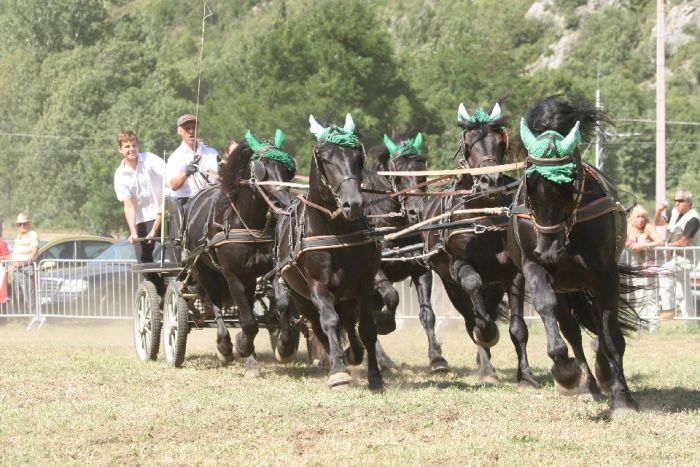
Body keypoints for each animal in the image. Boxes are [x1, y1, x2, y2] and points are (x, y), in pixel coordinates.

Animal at [180, 131, 298, 372]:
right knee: (215, 303)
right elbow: (249, 321)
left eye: (288, 169)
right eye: (262, 169)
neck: (248, 223)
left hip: (249, 276)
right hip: (204, 269)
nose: (284, 203)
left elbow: (281, 302)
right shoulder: (232, 274)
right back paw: (225, 347)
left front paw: (285, 346)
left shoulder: (272, 268)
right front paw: (241, 347)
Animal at [274, 114, 382, 392]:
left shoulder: (364, 283)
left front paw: (375, 376)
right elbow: (329, 323)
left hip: (346, 294)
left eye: (357, 156)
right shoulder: (317, 286)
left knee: (349, 322)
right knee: (318, 324)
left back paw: (352, 353)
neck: (335, 231)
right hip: (301, 296)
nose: (353, 203)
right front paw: (338, 372)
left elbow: (367, 328)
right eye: (325, 159)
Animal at [360, 132, 448, 372]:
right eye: (397, 176)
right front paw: (385, 323)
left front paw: (437, 358)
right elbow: (392, 296)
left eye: (422, 172)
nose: (416, 212)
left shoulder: (420, 269)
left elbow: (427, 314)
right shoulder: (374, 272)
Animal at [422, 103, 540, 388]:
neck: (483, 217)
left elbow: (518, 328)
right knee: (470, 318)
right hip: (451, 287)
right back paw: (486, 366)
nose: (491, 180)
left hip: (493, 287)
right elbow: (476, 310)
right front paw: (486, 336)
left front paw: (526, 375)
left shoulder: (511, 274)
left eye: (500, 142)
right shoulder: (459, 268)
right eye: (468, 144)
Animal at [506, 96, 644, 414]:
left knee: (599, 327)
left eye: (568, 181)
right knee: (573, 331)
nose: (548, 249)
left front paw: (623, 397)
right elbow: (548, 308)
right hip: (564, 287)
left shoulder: (605, 274)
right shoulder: (534, 266)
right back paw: (588, 385)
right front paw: (564, 370)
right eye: (530, 182)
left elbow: (610, 334)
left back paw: (604, 373)